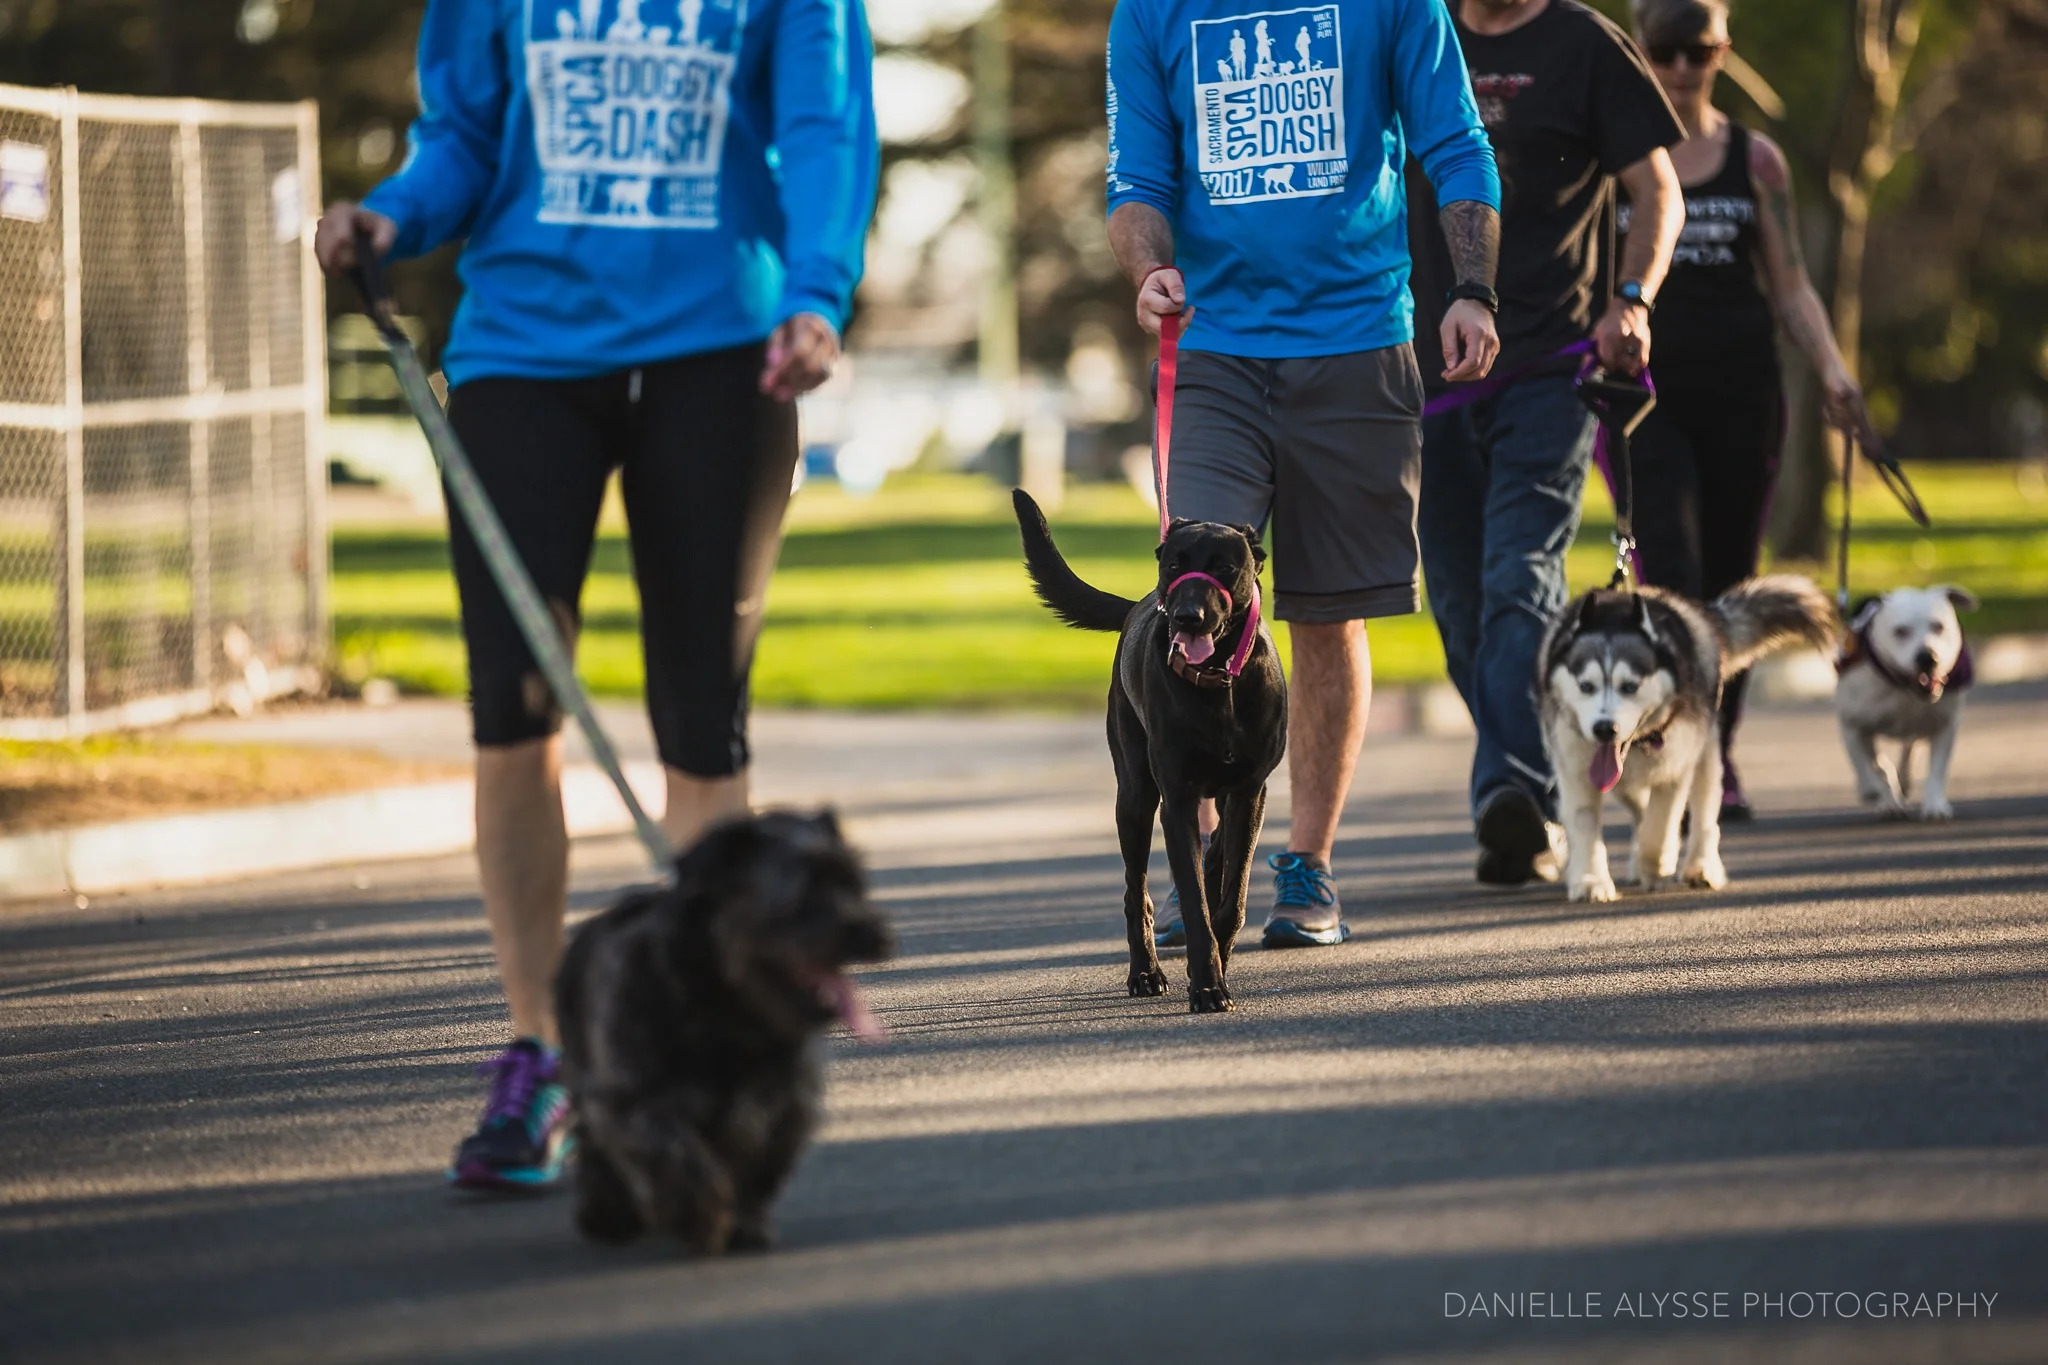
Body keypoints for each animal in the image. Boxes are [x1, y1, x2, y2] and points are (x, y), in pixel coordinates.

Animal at [552, 810, 888, 1260]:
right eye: (805, 893)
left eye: (854, 884)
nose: (873, 932)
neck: (726, 1009)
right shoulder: (629, 1102)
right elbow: (673, 1149)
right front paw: (700, 1213)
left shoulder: (788, 1100)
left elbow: (757, 1147)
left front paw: (744, 1221)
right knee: (596, 1148)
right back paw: (608, 1213)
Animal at [1015, 491, 1286, 1015]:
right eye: (1174, 564)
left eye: (1225, 567)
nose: (1186, 617)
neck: (1218, 682)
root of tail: (1138, 606)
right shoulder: (1176, 801)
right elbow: (1196, 905)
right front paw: (1207, 985)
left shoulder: (1250, 792)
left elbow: (1231, 899)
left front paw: (1218, 965)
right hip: (1135, 797)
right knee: (1134, 891)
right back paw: (1145, 973)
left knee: (1215, 853)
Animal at [1835, 589, 1974, 822]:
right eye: (1900, 631)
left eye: (1938, 626)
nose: (1927, 656)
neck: (1902, 687)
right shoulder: (1853, 726)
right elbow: (1870, 766)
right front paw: (1881, 796)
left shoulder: (1945, 727)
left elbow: (1937, 770)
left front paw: (1935, 805)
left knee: (1909, 748)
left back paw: (1904, 780)